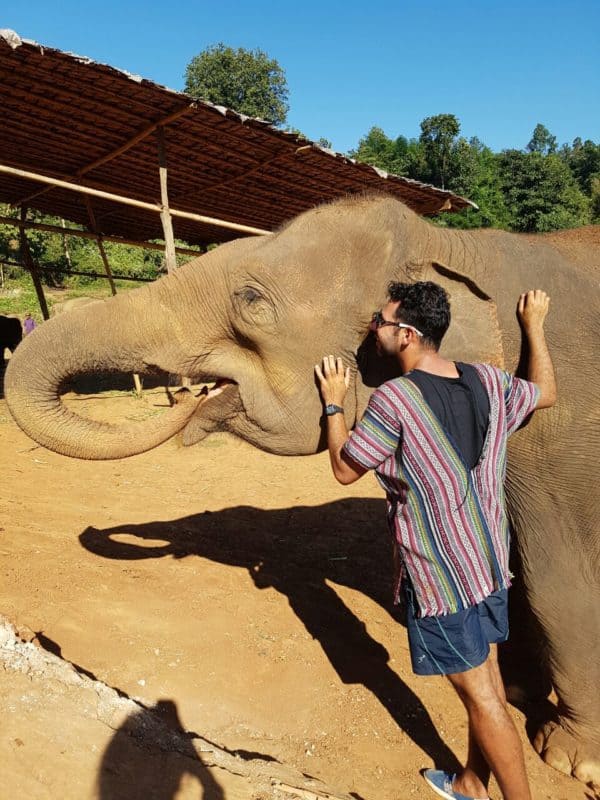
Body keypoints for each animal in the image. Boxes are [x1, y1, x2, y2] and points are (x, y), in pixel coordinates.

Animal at [5, 195, 600, 788]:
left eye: (249, 299)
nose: (191, 399)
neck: (451, 245)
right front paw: (519, 683)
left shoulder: (556, 445)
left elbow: (555, 574)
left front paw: (572, 758)